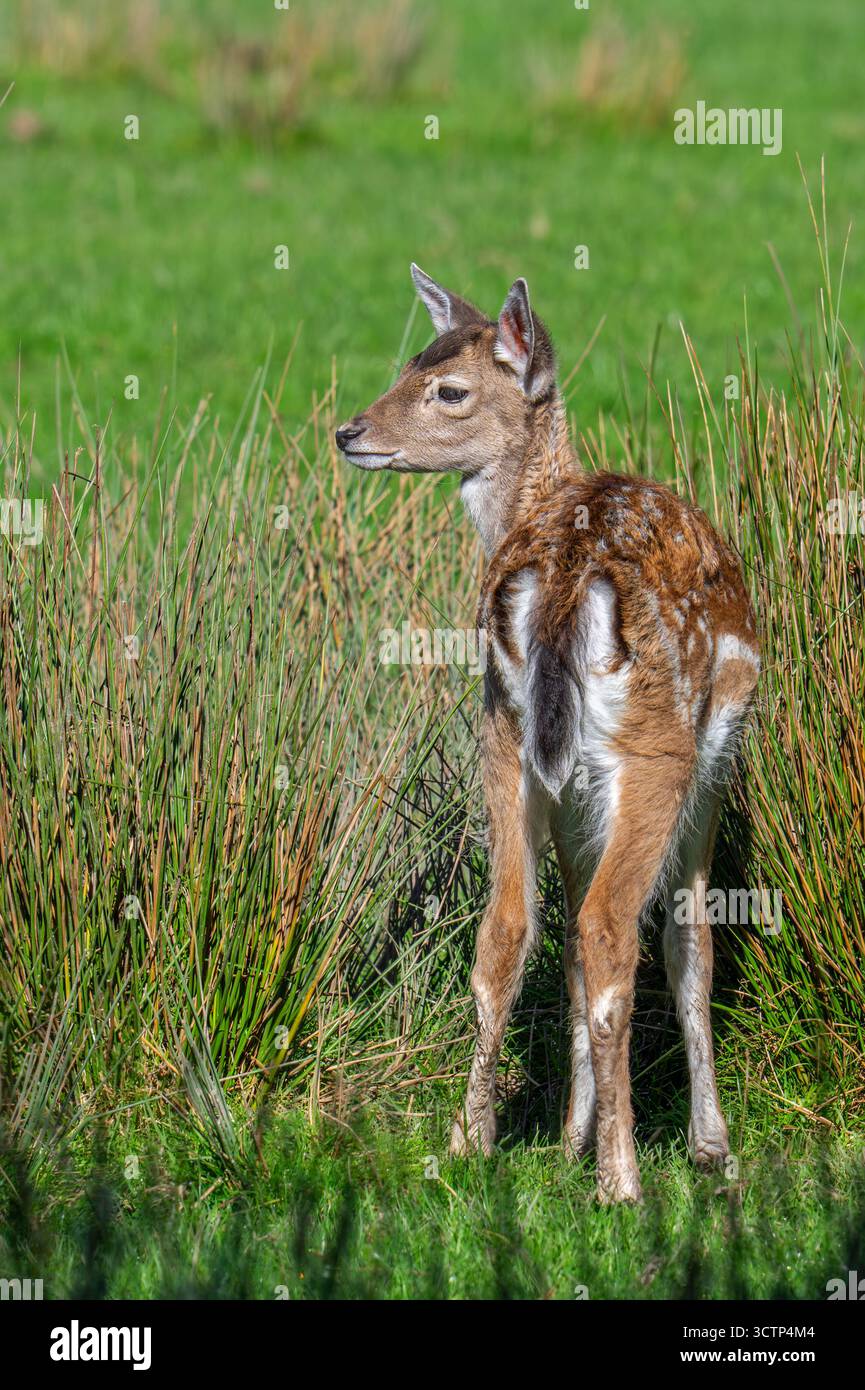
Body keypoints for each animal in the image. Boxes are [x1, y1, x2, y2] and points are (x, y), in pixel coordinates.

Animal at [336, 265, 760, 1203]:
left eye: (444, 386)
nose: (348, 431)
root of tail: (566, 580)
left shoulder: (558, 778)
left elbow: (552, 937)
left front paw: (566, 1136)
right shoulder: (712, 761)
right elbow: (689, 944)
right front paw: (708, 1148)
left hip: (501, 732)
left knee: (506, 927)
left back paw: (470, 1141)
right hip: (657, 748)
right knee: (608, 930)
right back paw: (623, 1180)